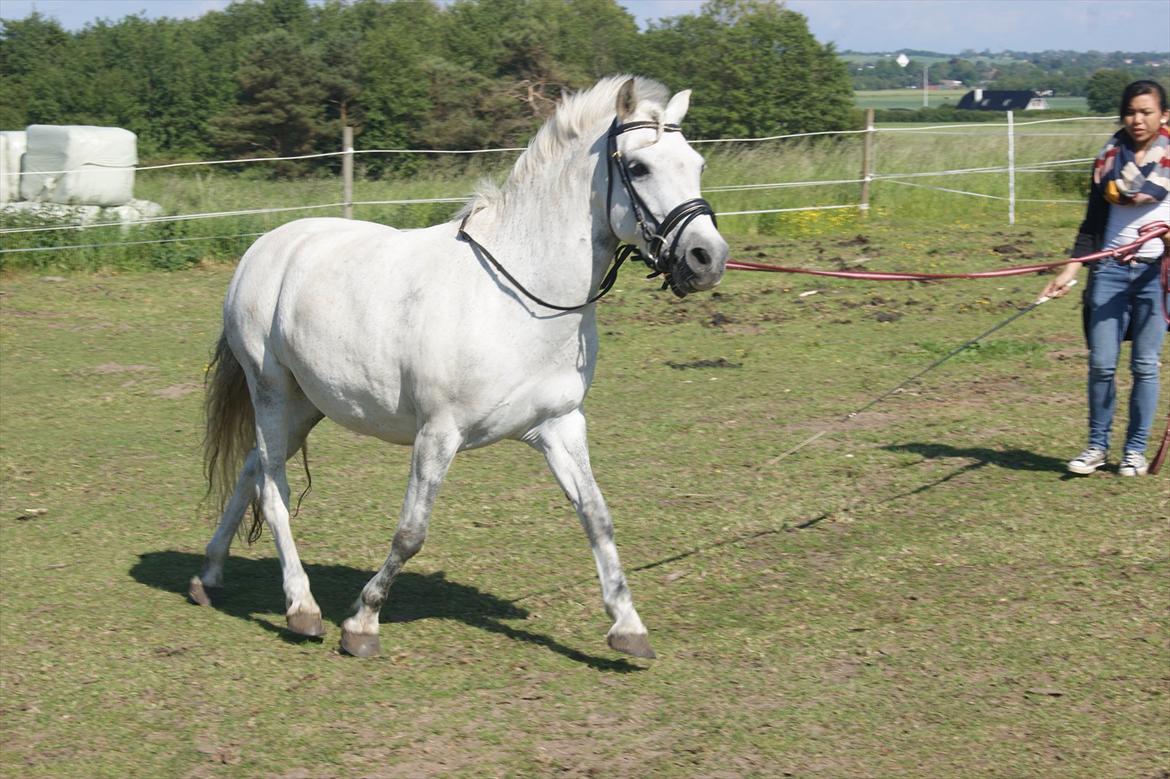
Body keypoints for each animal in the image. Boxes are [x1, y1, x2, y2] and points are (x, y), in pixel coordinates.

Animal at [188, 76, 725, 655]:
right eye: (640, 167)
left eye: (696, 164)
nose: (707, 259)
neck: (521, 300)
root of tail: (266, 248)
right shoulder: (438, 434)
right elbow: (411, 533)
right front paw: (362, 623)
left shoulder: (558, 426)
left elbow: (597, 516)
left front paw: (627, 627)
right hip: (270, 390)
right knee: (274, 489)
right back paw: (301, 608)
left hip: (307, 405)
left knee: (251, 468)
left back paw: (208, 577)